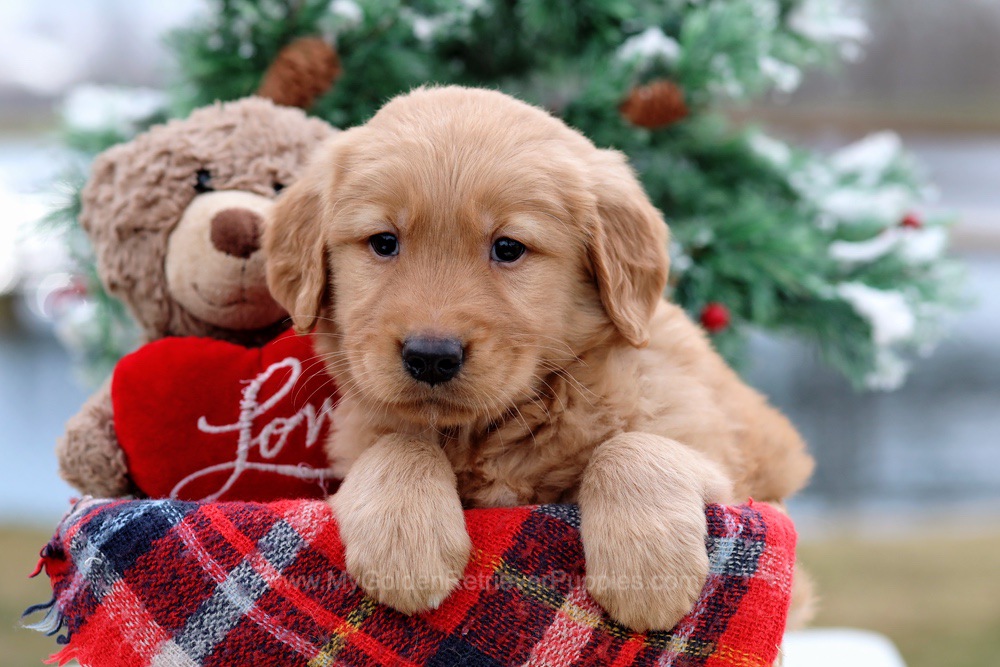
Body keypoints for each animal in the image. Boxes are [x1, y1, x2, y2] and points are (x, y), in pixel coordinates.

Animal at [266, 85, 812, 632]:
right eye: (383, 242)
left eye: (508, 247)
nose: (431, 358)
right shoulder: (357, 438)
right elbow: (399, 445)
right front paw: (405, 544)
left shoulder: (731, 474)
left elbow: (631, 447)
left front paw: (648, 572)